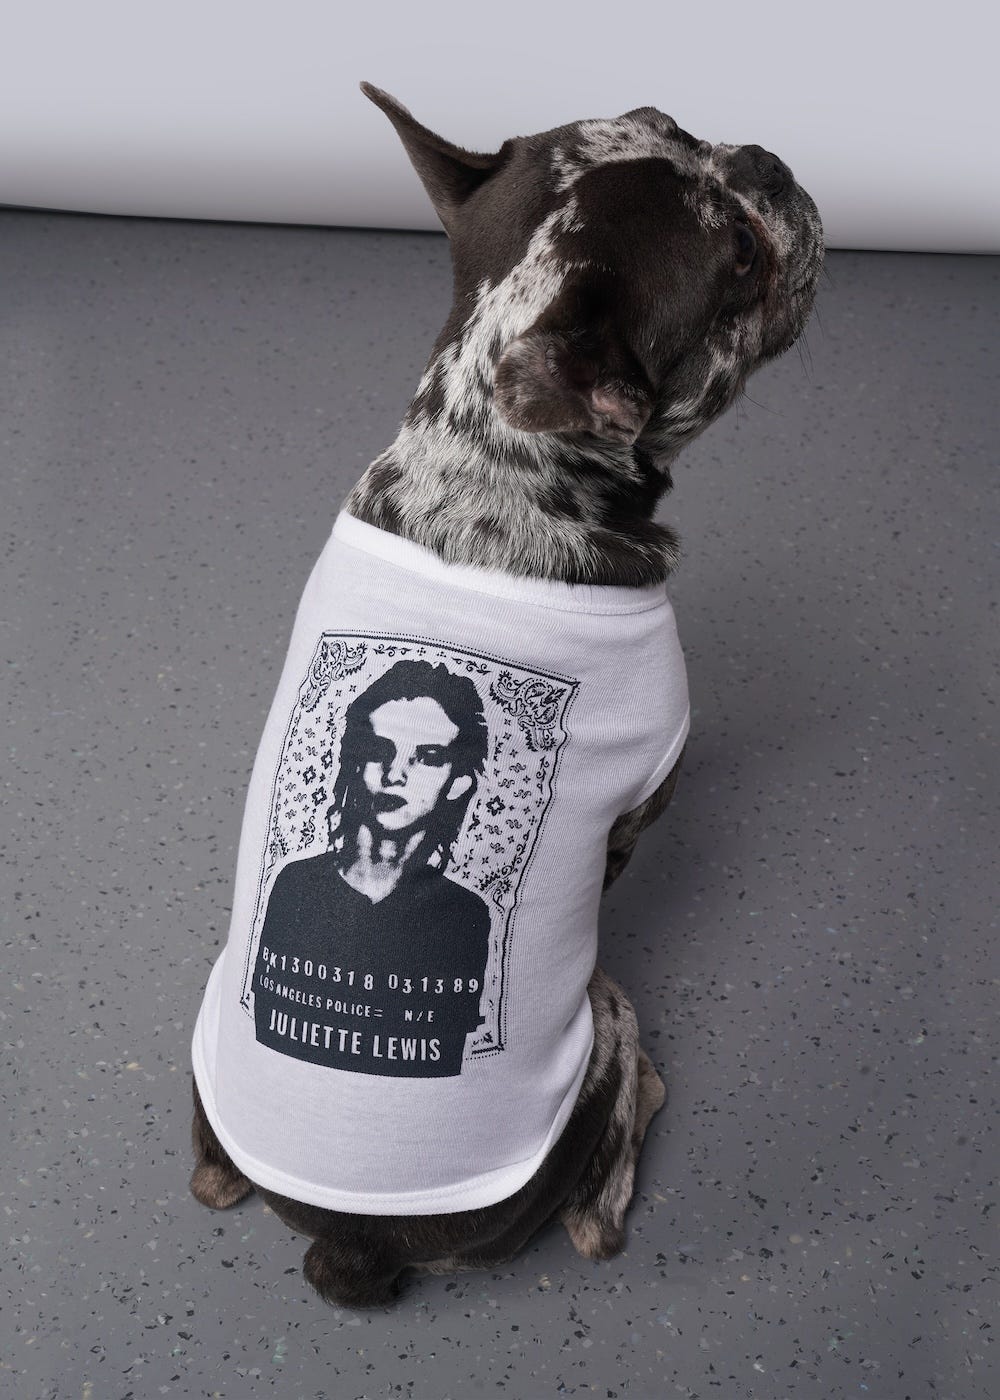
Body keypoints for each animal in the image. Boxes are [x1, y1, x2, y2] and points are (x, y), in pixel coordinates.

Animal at [189, 82, 824, 1308]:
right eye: (736, 255)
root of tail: (351, 1242)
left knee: (208, 1179)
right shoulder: (646, 784)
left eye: (667, 115)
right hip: (604, 1031)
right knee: (599, 1201)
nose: (765, 160)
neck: (487, 462)